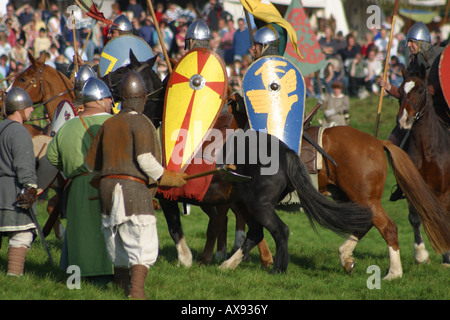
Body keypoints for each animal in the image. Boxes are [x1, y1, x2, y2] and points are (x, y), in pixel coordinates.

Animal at [396, 67, 448, 264]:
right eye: (399, 91)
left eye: (420, 91)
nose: (403, 119)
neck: (427, 150)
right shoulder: (412, 187)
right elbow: (414, 218)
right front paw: (420, 254)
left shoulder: (443, 191)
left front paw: (447, 257)